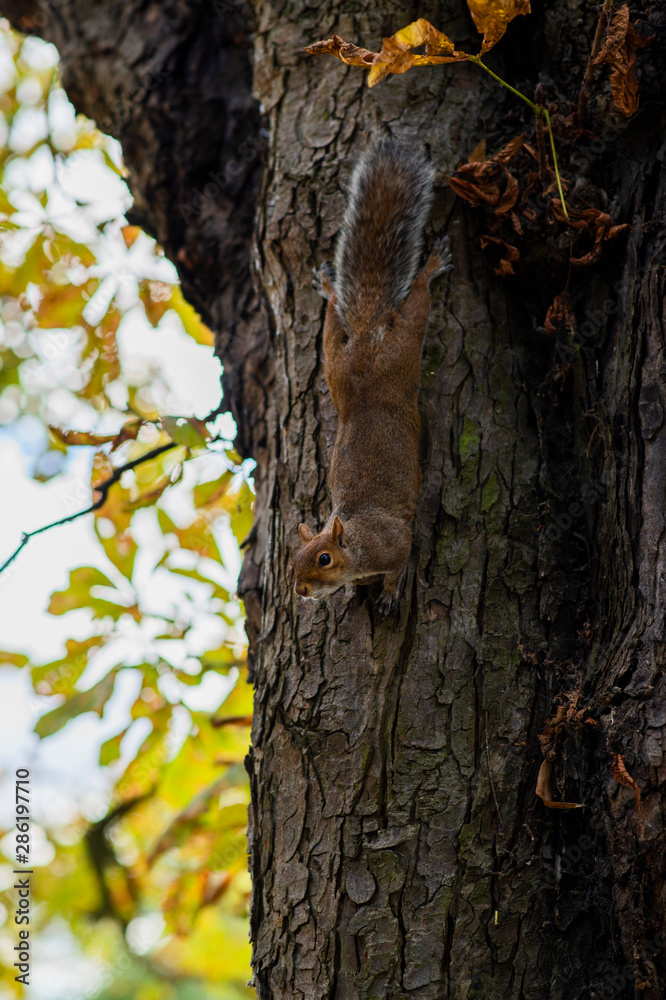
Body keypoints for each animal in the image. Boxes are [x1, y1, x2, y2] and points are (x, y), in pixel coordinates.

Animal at [293, 137, 451, 613]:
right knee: (332, 320)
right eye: (294, 559)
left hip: (402, 346)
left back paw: (432, 265)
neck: (358, 540)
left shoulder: (396, 541)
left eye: (324, 558)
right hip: (336, 364)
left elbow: (400, 566)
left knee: (417, 301)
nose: (300, 591)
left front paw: (387, 596)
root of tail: (367, 339)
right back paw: (329, 288)